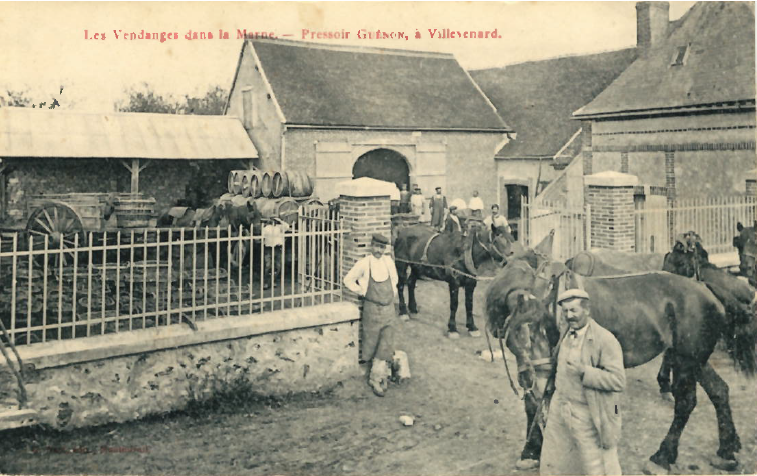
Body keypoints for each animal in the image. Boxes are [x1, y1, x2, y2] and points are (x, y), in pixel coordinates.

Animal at [484, 256, 756, 472]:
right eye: (512, 337)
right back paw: (727, 450)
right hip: (695, 360)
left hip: (686, 361)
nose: (534, 376)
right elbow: (533, 406)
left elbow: (538, 404)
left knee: (686, 403)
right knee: (720, 391)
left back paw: (663, 456)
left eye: (542, 328)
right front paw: (531, 452)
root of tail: (706, 288)